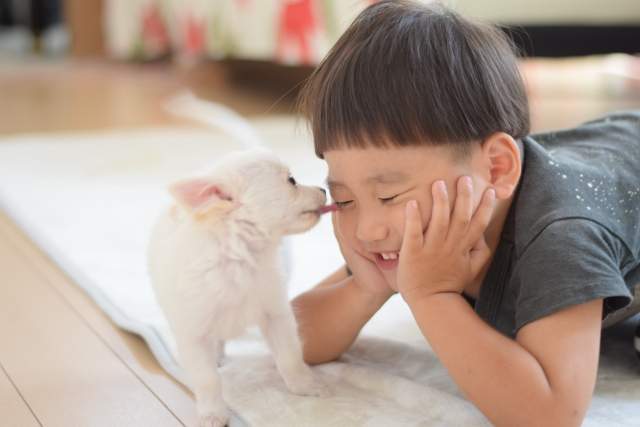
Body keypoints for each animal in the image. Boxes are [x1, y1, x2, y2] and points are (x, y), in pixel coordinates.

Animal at [148, 149, 332, 426]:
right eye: (291, 180)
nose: (323, 189)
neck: (241, 259)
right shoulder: (193, 333)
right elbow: (207, 379)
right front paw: (212, 413)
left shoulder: (275, 314)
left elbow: (289, 356)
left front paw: (305, 386)